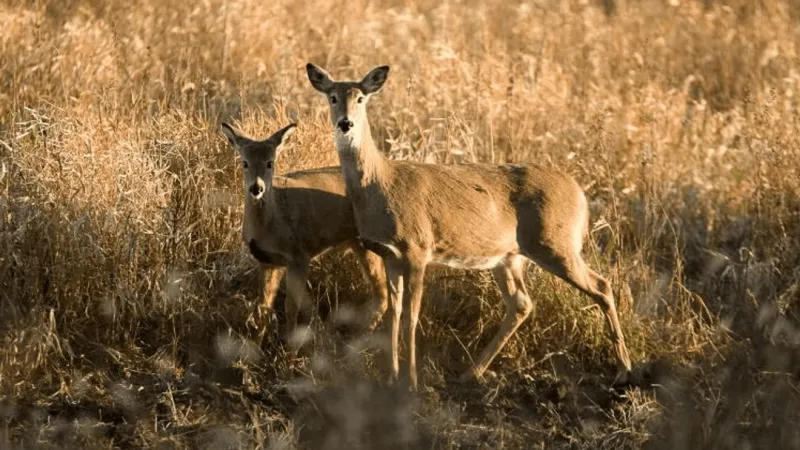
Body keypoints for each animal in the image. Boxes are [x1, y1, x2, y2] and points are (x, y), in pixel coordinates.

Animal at [220, 121, 389, 343]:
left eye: (270, 162)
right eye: (245, 162)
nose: (256, 188)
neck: (271, 225)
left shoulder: (299, 256)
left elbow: (291, 307)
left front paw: (288, 347)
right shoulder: (268, 262)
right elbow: (263, 307)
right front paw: (254, 345)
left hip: (369, 242)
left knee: (384, 292)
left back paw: (359, 339)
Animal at [305, 63, 633, 390]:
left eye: (361, 98)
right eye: (332, 97)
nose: (345, 124)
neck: (381, 183)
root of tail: (580, 194)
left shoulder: (417, 249)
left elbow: (412, 316)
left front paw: (411, 382)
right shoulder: (389, 255)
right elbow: (393, 315)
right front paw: (390, 377)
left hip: (555, 243)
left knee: (601, 285)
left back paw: (624, 367)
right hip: (509, 257)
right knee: (522, 303)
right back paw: (472, 372)